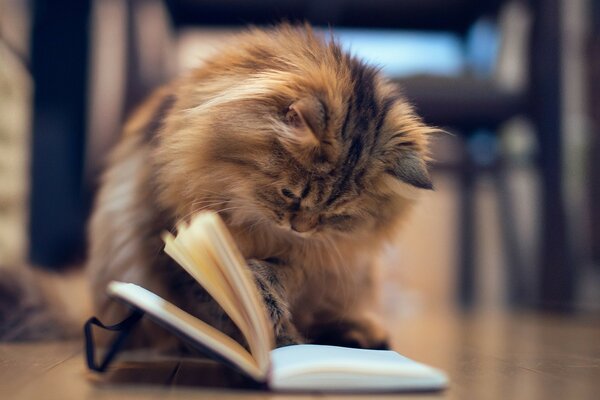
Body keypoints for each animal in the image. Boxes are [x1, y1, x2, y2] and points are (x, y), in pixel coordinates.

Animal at [86, 23, 434, 352]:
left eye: (337, 215)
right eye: (290, 194)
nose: (301, 229)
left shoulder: (311, 262)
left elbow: (280, 281)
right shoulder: (172, 240)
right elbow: (221, 303)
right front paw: (270, 341)